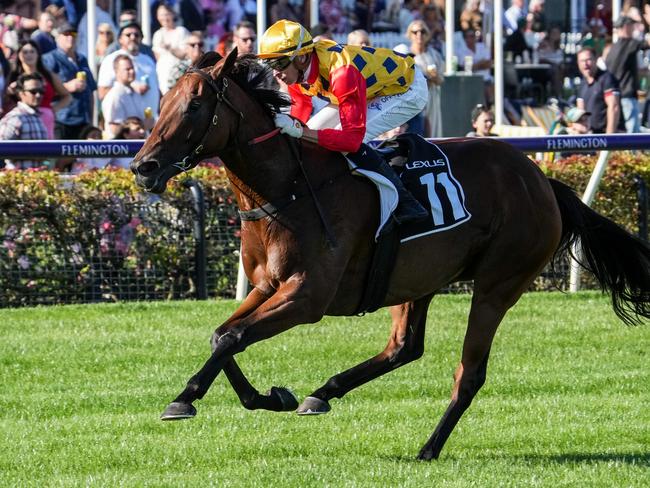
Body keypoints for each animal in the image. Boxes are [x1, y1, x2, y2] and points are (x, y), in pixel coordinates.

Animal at [128, 51, 648, 460]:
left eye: (195, 104)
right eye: (163, 102)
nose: (142, 166)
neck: (287, 190)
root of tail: (541, 180)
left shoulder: (306, 297)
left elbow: (235, 337)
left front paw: (192, 400)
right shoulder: (267, 286)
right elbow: (223, 335)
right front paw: (261, 396)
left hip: (498, 285)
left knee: (469, 373)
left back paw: (429, 447)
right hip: (418, 279)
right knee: (404, 347)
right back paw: (323, 393)